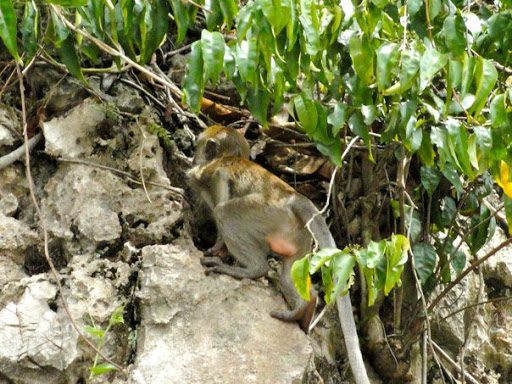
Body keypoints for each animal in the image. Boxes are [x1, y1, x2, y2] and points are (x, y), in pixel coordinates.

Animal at [187, 126, 368, 384]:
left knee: (225, 213)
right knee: (287, 274)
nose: (194, 156)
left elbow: (221, 182)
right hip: (300, 237)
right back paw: (304, 308)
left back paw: (249, 270)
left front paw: (217, 246)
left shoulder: (209, 173)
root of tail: (294, 197)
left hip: (264, 211)